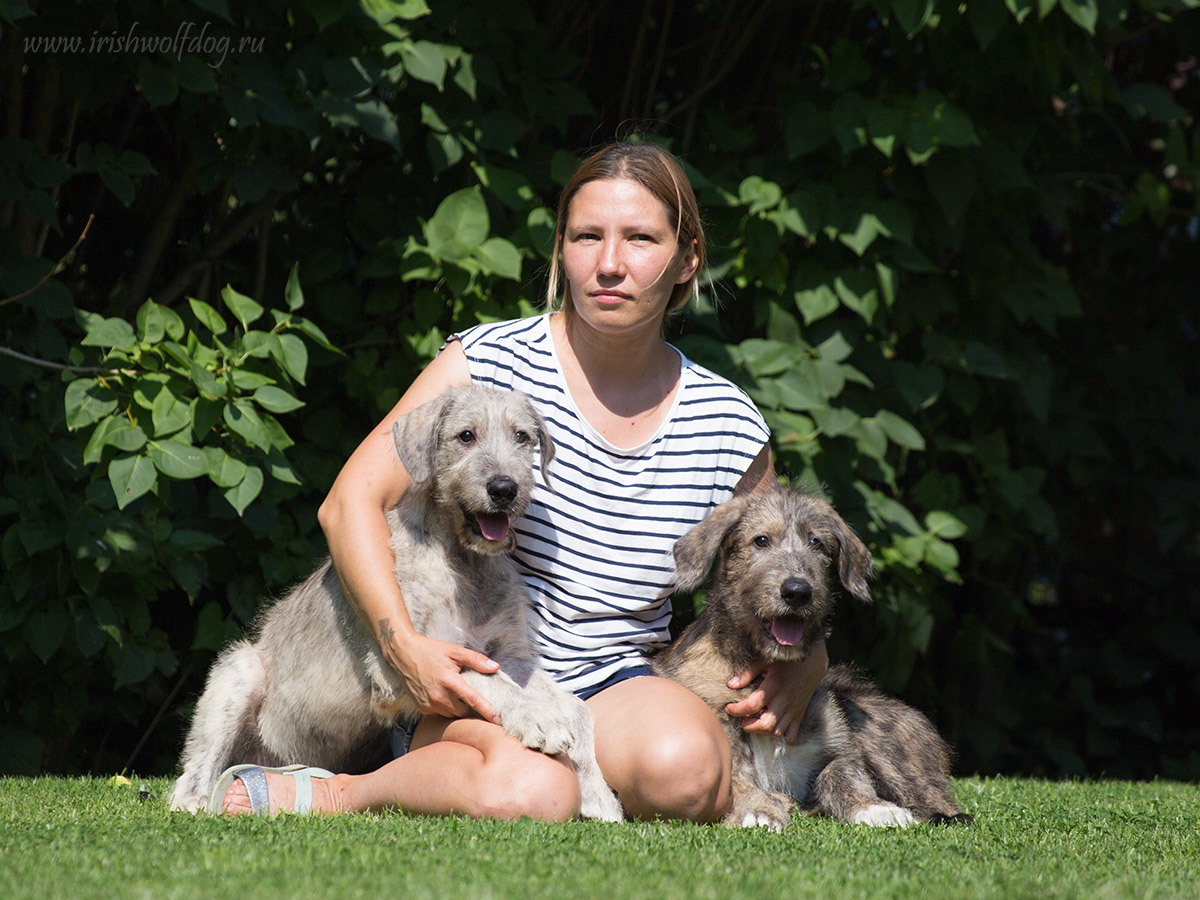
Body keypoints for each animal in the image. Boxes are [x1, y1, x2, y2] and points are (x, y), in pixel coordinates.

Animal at [171, 388, 628, 825]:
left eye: (521, 436)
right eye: (466, 436)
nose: (504, 489)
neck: (464, 562)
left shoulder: (511, 655)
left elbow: (574, 706)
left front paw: (598, 793)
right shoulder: (409, 659)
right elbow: (483, 677)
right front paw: (537, 718)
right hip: (238, 671)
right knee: (192, 769)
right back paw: (195, 799)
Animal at [652, 487, 969, 830]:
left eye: (816, 542)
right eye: (761, 540)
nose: (797, 591)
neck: (761, 669)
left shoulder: (837, 744)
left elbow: (844, 770)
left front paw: (870, 806)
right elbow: (736, 773)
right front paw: (758, 808)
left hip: (876, 728)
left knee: (928, 793)